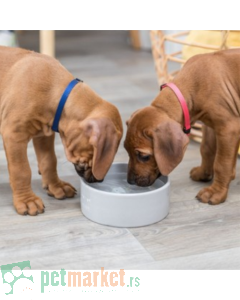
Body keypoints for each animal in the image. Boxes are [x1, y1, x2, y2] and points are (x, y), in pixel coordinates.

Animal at [0, 45, 123, 216]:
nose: (100, 181)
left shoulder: (44, 134)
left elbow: (49, 161)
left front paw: (56, 186)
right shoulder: (14, 135)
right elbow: (21, 170)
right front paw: (27, 199)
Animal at [124, 48, 240, 204]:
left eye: (144, 156)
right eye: (126, 150)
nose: (129, 181)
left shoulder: (228, 128)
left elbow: (222, 163)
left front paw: (216, 191)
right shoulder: (210, 125)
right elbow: (207, 149)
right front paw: (205, 173)